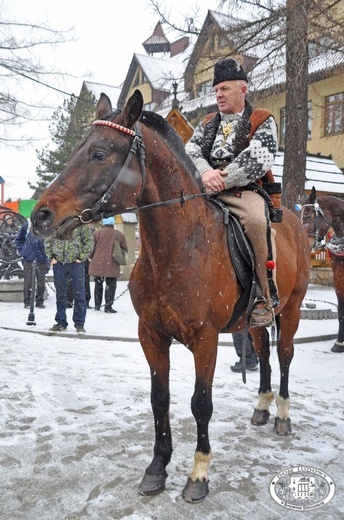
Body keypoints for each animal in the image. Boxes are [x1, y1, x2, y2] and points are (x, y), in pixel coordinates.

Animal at [30, 90, 310, 504]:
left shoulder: (205, 339)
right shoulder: (151, 335)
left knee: (286, 355)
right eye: (78, 149)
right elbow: (158, 398)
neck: (178, 249)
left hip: (291, 309)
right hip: (255, 321)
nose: (41, 217)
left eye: (99, 153)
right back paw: (261, 406)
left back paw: (282, 416)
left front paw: (199, 474)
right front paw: (157, 468)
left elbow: (200, 403)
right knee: (262, 352)